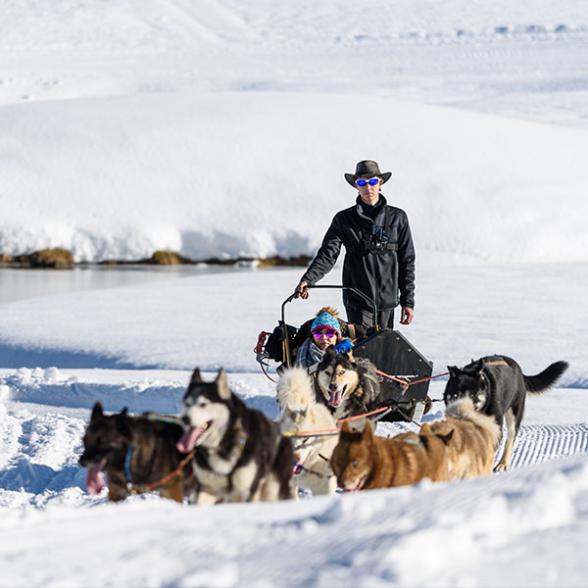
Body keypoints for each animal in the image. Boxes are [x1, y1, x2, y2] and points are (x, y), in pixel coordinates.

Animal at [176, 368, 292, 500]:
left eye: (203, 404)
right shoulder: (206, 489)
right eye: (187, 404)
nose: (185, 419)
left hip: (271, 491)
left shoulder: (246, 492)